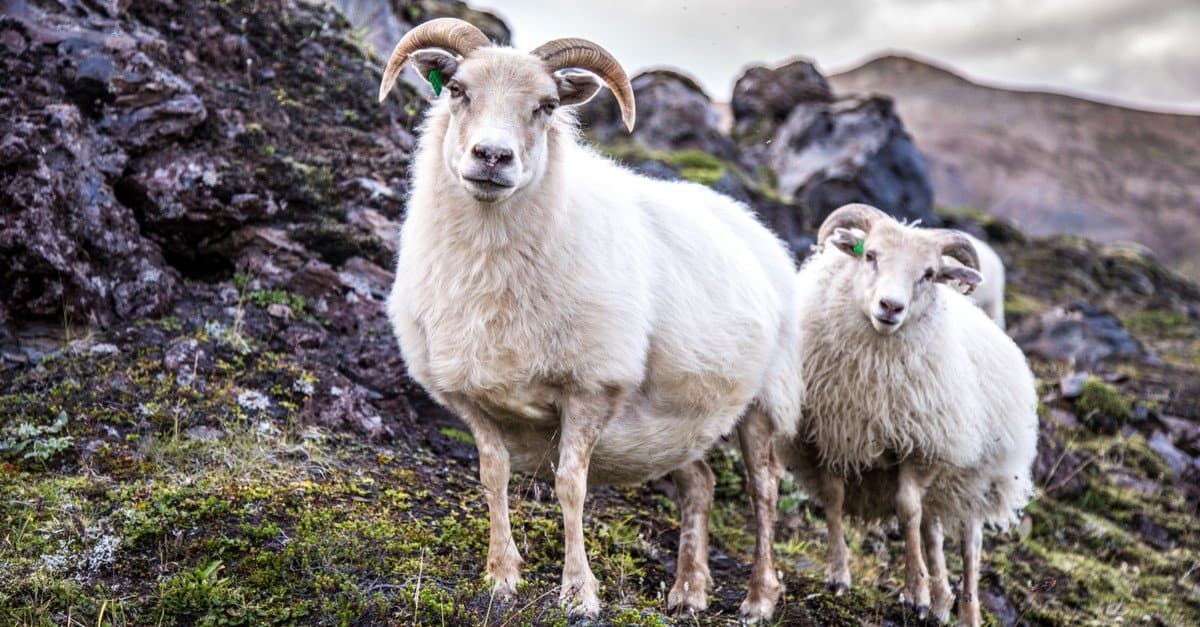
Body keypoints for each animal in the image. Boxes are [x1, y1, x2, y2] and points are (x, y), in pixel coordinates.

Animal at [377, 19, 801, 620]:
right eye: (457, 89)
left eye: (547, 105)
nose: (492, 156)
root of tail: (751, 223)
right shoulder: (469, 395)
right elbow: (492, 476)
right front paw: (500, 578)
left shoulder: (590, 388)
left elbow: (570, 487)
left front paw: (579, 594)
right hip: (678, 416)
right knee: (700, 483)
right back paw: (688, 591)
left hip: (766, 400)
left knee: (764, 489)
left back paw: (760, 598)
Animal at [777, 203, 1038, 626]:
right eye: (869, 255)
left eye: (929, 274)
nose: (890, 307)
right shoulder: (830, 434)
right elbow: (834, 497)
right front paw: (838, 574)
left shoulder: (923, 446)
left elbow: (907, 509)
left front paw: (915, 591)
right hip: (945, 483)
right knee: (933, 532)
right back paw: (942, 601)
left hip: (977, 478)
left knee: (969, 542)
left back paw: (966, 610)